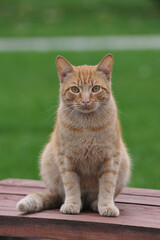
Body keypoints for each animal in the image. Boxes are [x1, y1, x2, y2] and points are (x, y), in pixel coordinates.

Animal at [16, 54, 131, 218]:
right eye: (75, 89)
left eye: (96, 88)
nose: (85, 101)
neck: (86, 125)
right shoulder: (66, 159)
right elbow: (71, 186)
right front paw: (72, 205)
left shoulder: (111, 158)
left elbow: (107, 186)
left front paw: (106, 206)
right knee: (66, 196)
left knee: (94, 198)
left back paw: (95, 204)